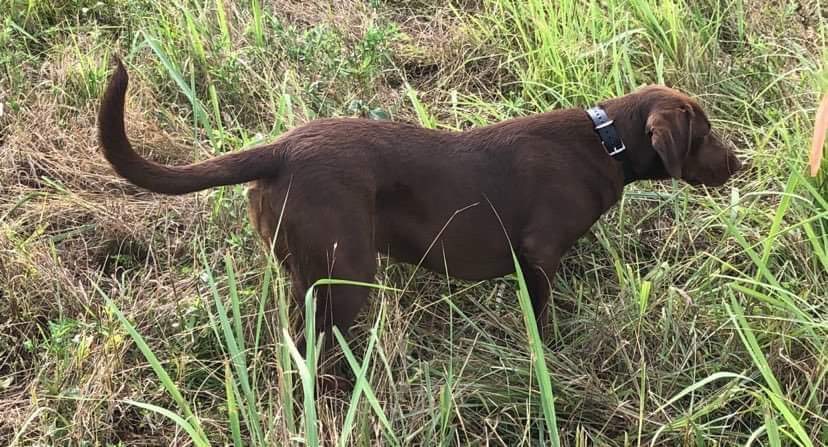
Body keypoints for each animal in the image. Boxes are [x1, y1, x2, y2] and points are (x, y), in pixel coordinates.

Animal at [98, 56, 744, 384]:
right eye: (707, 133)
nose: (741, 162)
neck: (604, 141)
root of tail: (279, 149)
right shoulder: (538, 255)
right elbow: (542, 321)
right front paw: (548, 359)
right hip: (346, 274)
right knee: (317, 350)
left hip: (305, 274)